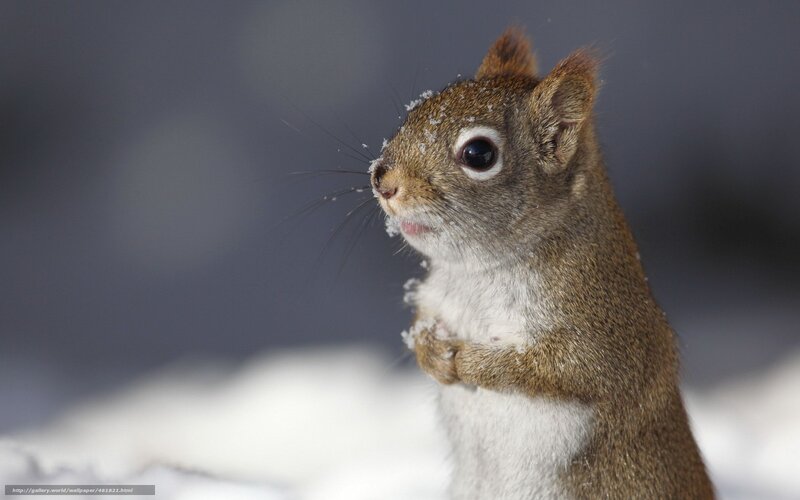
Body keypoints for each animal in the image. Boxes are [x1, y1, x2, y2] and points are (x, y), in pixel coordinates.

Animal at [369, 27, 714, 499]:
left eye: (479, 154)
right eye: (415, 112)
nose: (381, 179)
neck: (478, 271)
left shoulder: (601, 334)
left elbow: (558, 369)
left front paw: (472, 362)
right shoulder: (436, 295)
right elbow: (423, 319)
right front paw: (432, 352)